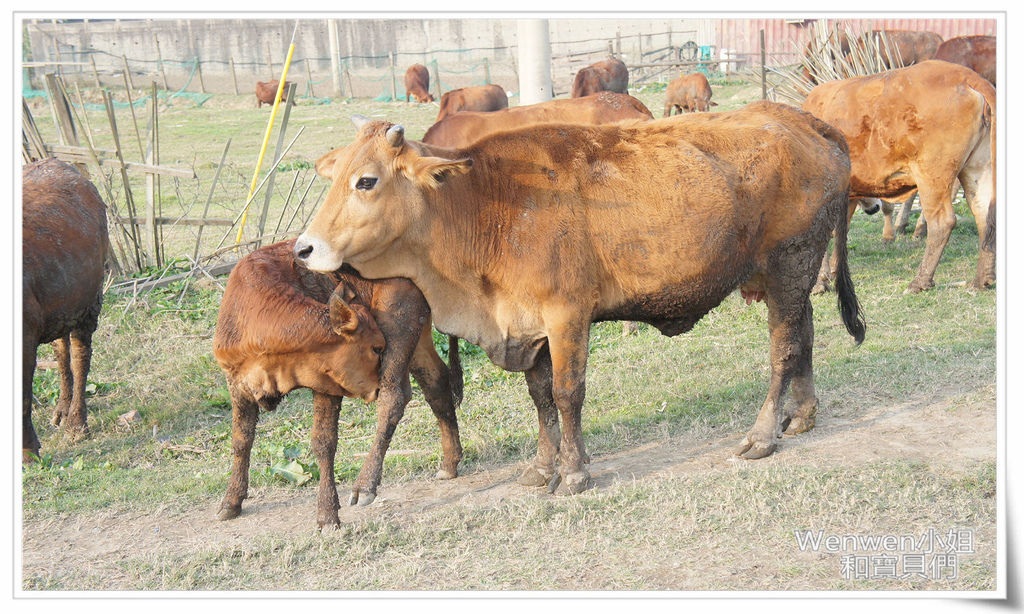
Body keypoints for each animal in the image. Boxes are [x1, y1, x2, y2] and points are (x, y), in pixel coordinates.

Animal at [22, 158, 108, 460]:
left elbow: (23, 398)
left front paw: (28, 451)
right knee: (61, 352)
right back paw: (62, 408)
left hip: (88, 304)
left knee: (80, 356)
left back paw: (77, 422)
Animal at [216, 241, 464, 528]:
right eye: (376, 348)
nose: (374, 388)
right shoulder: (237, 383)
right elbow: (241, 441)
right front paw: (230, 502)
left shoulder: (327, 386)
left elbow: (323, 443)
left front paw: (327, 514)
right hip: (418, 338)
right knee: (436, 382)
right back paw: (449, 464)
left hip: (401, 325)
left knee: (395, 398)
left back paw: (365, 486)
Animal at [294, 100, 864, 493]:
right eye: (336, 174)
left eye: (366, 181)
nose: (304, 248)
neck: (486, 206)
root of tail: (805, 120)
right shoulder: (528, 326)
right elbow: (541, 396)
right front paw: (542, 467)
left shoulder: (566, 314)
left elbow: (568, 393)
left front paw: (571, 472)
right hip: (790, 277)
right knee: (805, 334)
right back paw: (803, 414)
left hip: (789, 265)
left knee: (783, 349)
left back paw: (763, 435)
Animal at [802, 59, 995, 294]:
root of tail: (964, 75)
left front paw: (818, 283)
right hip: (977, 168)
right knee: (984, 214)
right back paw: (981, 280)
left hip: (932, 175)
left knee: (942, 222)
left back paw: (920, 281)